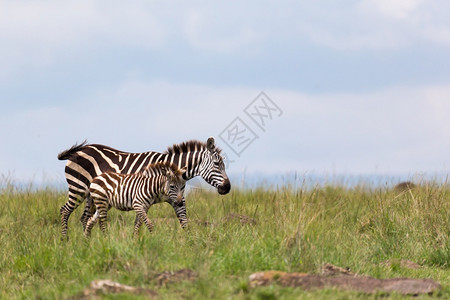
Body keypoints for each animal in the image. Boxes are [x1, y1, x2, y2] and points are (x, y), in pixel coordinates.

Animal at [58, 138, 230, 239]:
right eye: (217, 164)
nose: (227, 188)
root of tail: (79, 150)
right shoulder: (141, 195)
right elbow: (140, 221)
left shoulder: (177, 199)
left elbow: (184, 221)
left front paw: (191, 243)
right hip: (78, 187)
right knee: (65, 211)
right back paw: (65, 240)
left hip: (90, 194)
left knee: (84, 217)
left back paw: (88, 240)